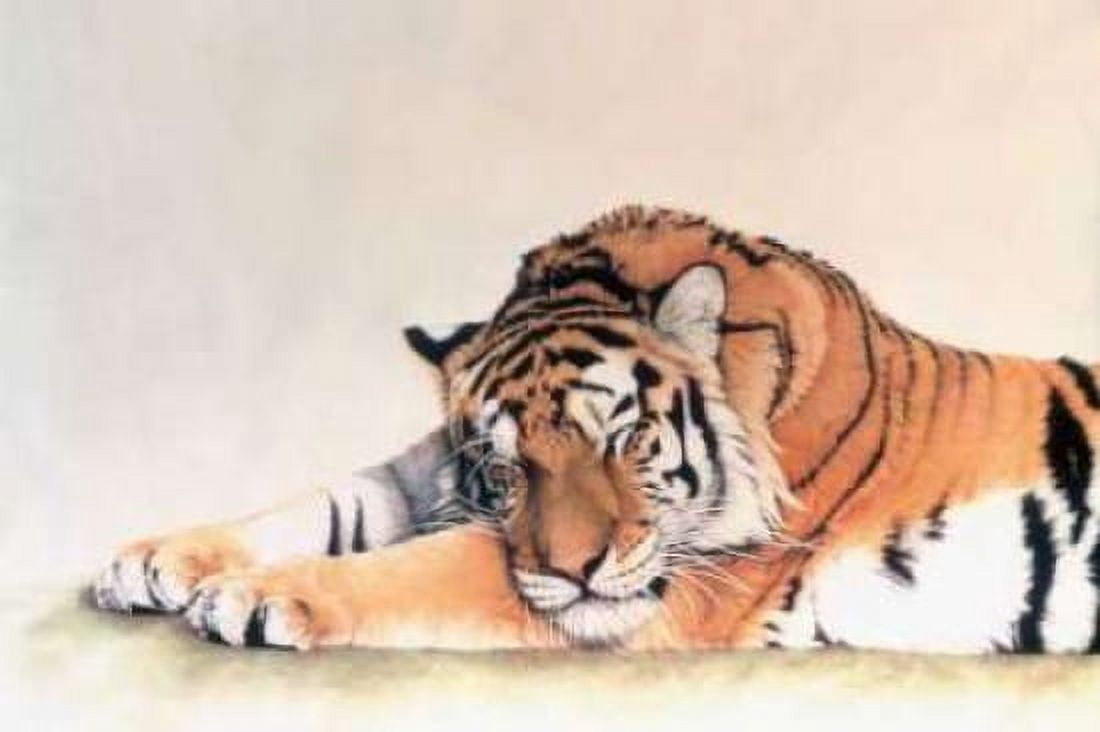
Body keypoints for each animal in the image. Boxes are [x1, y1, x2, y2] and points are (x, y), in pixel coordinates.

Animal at [92, 205, 1100, 653]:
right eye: (505, 469)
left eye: (624, 440)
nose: (576, 568)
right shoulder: (432, 476)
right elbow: (323, 504)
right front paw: (146, 562)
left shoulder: (666, 588)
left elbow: (422, 566)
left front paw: (254, 597)